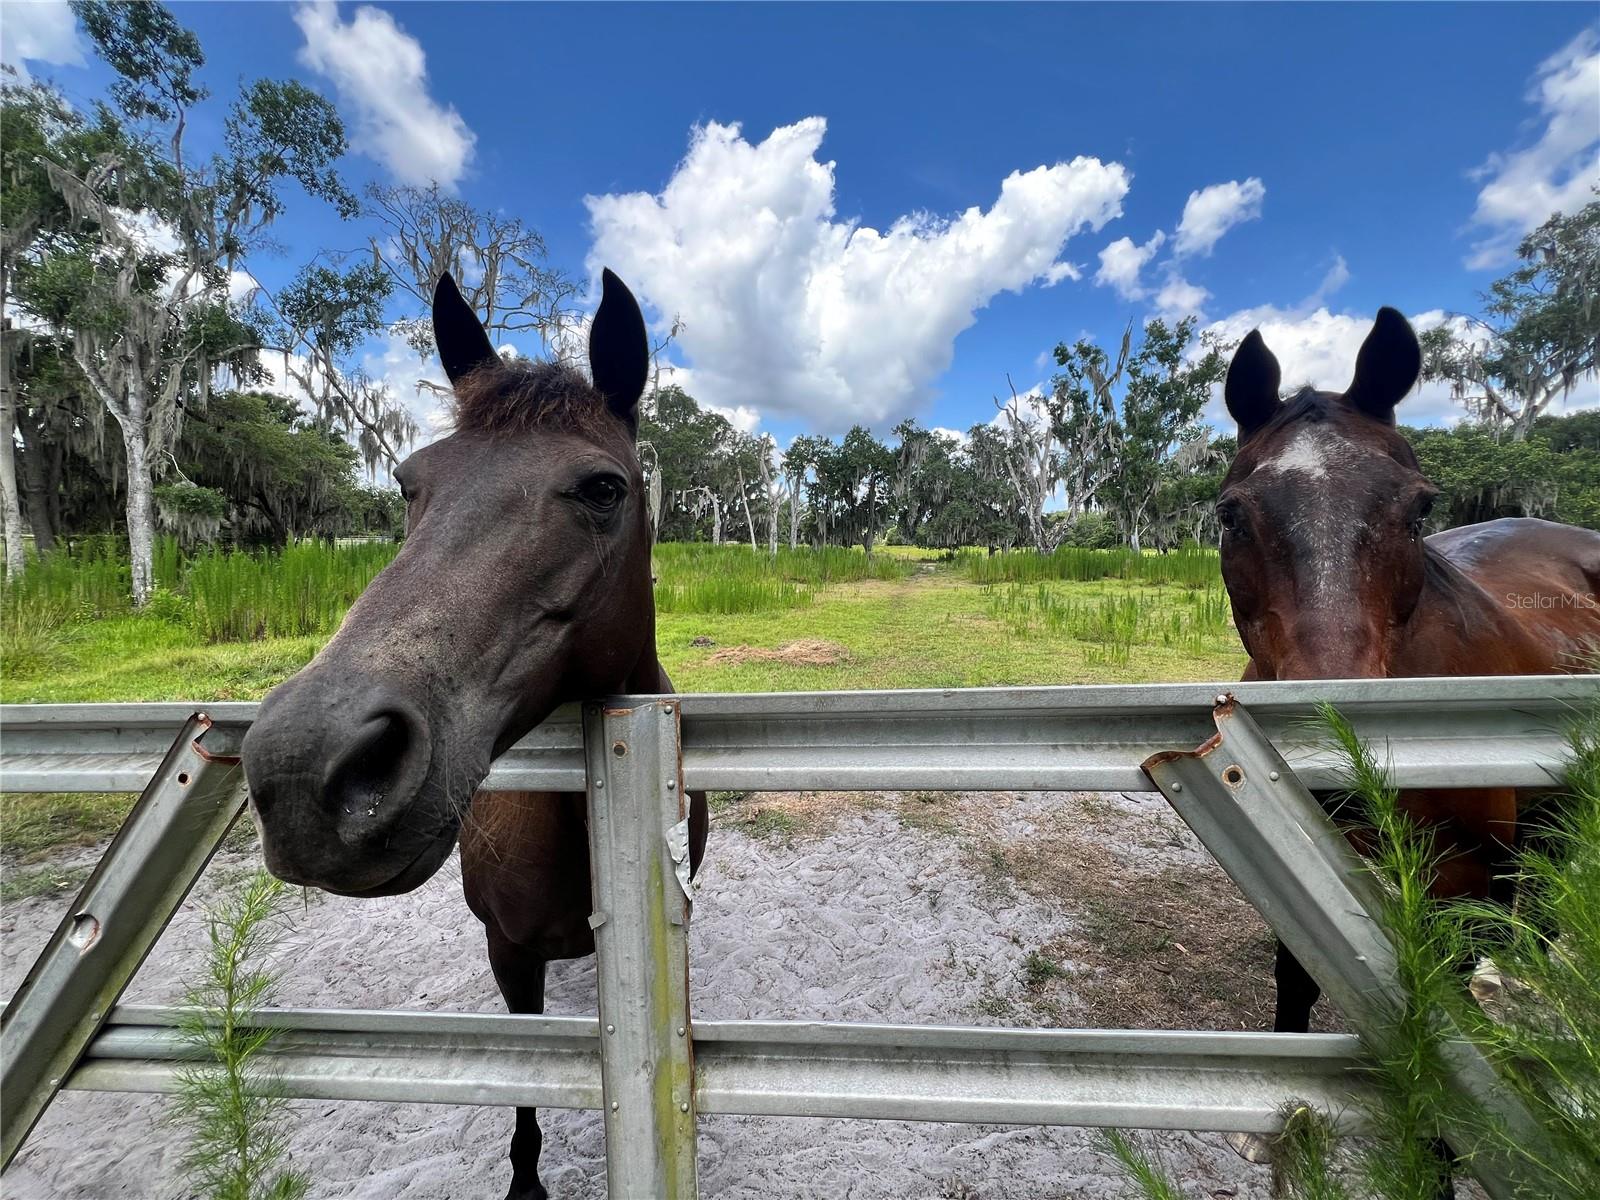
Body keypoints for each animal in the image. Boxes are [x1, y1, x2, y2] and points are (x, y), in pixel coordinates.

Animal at [243, 272, 707, 1200]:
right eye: (408, 484)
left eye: (604, 489)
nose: (305, 768)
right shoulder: (509, 956)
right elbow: (525, 1080)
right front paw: (525, 1180)